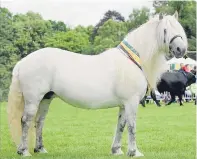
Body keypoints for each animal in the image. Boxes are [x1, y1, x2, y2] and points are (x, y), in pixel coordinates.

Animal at [6, 11, 187, 157]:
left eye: (179, 29)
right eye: (165, 30)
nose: (181, 49)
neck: (132, 60)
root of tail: (22, 62)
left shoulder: (124, 105)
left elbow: (121, 125)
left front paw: (117, 150)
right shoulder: (131, 102)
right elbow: (132, 126)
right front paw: (134, 152)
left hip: (46, 98)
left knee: (39, 121)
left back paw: (40, 149)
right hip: (33, 99)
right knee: (26, 121)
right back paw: (24, 151)